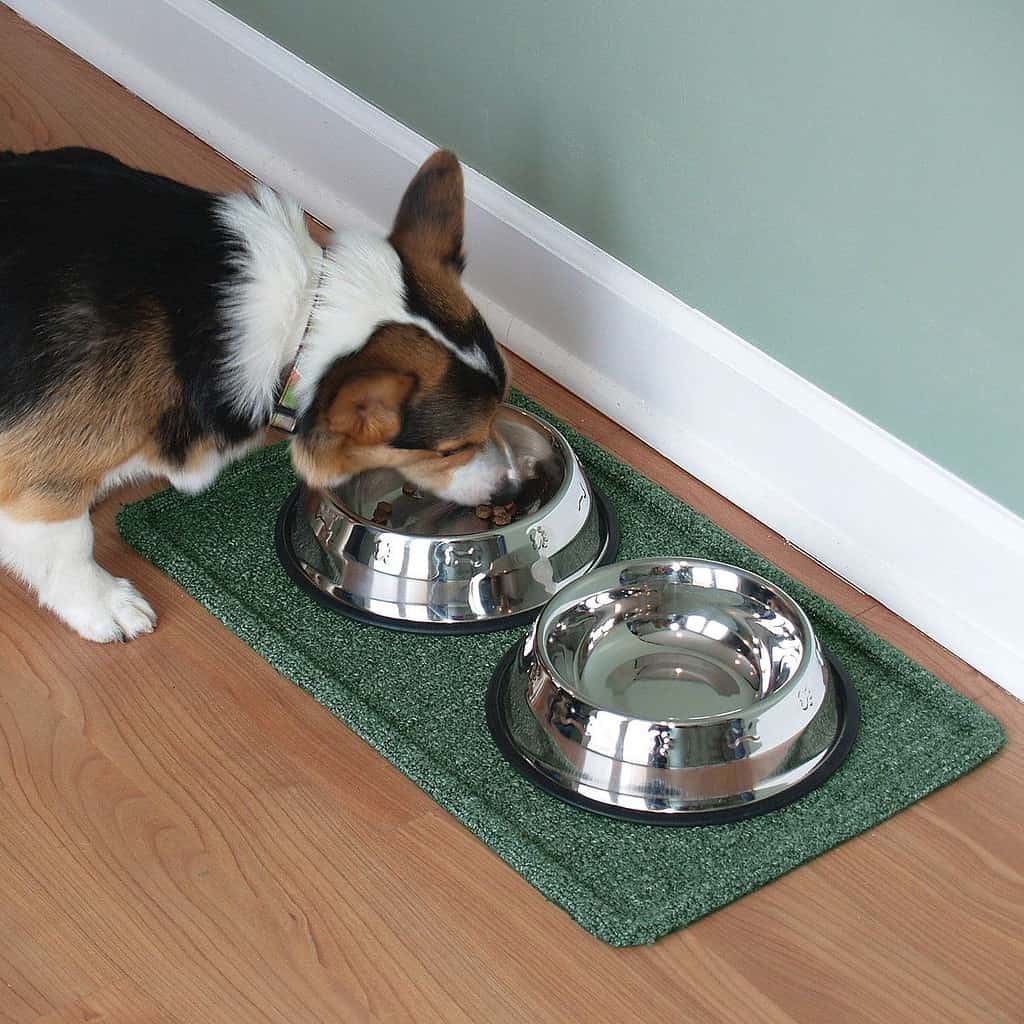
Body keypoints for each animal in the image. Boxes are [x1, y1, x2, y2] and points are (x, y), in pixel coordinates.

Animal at [0, 146, 509, 638]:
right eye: (451, 450)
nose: (508, 488)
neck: (300, 322)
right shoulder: (44, 478)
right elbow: (71, 545)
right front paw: (105, 605)